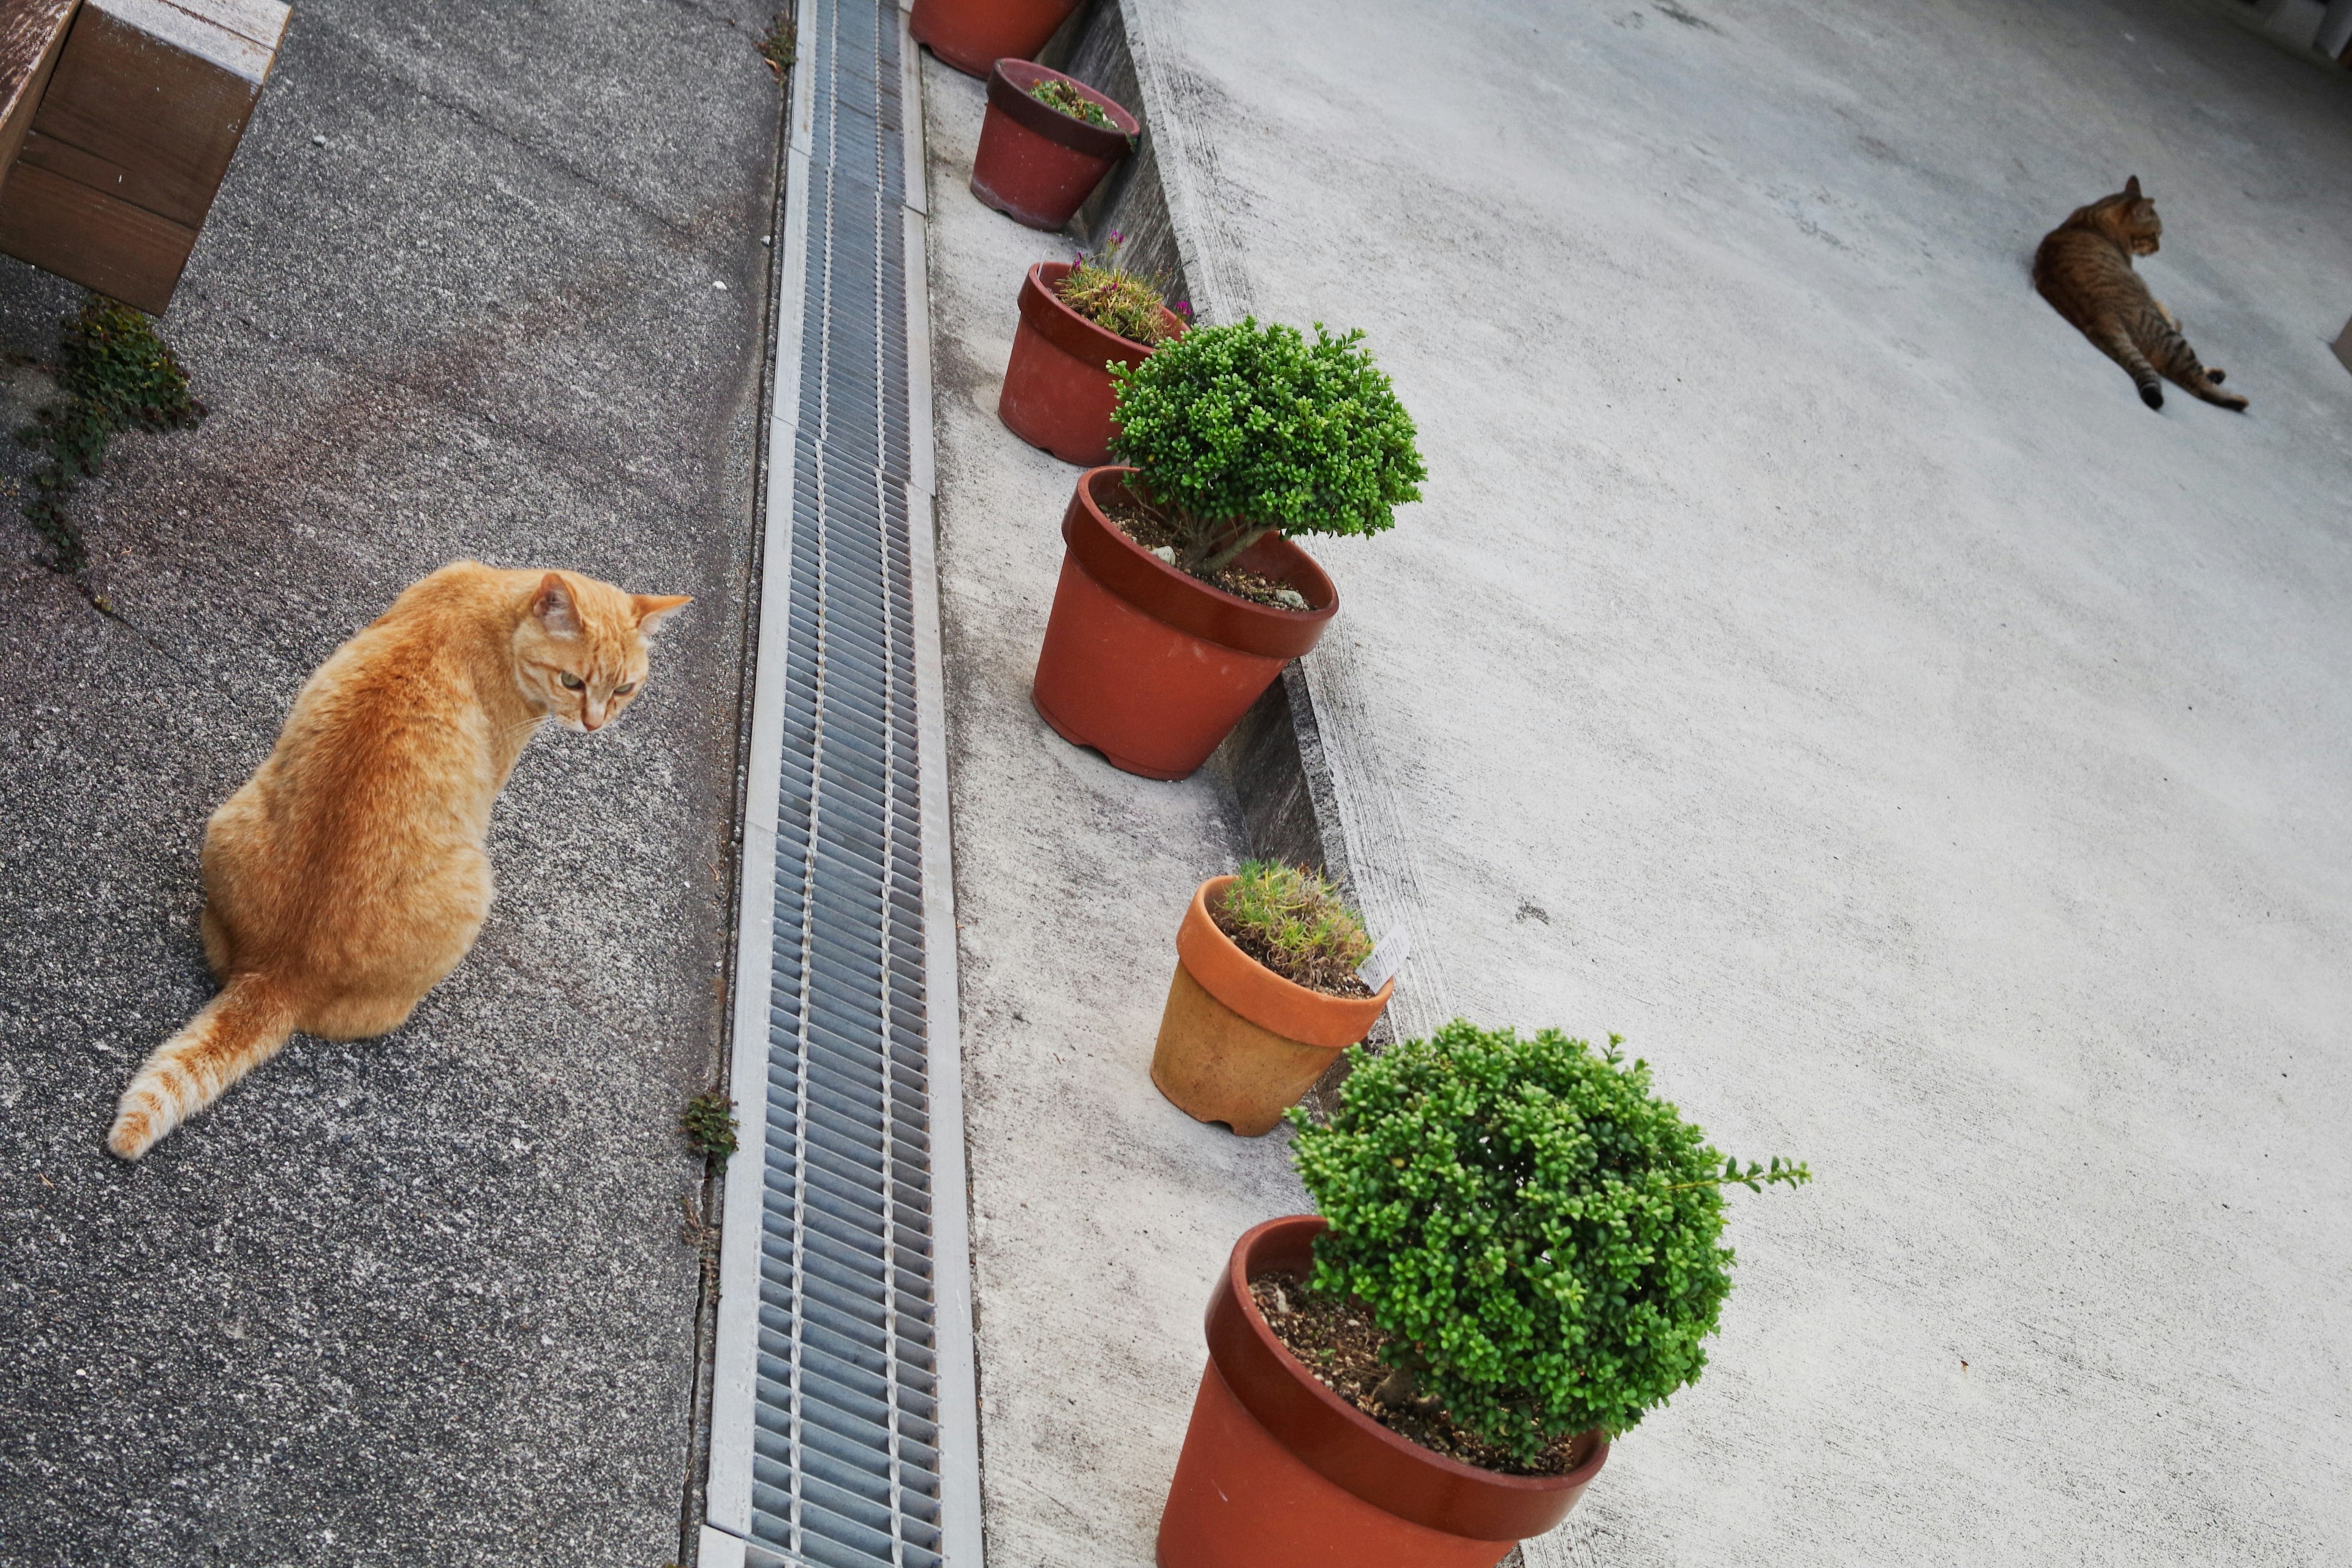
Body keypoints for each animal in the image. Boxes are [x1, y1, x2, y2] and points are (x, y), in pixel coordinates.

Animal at [108, 557, 687, 1161]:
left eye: (624, 688)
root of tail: (282, 972)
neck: (491, 605)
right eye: (572, 681)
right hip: (475, 888)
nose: (595, 725)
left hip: (232, 815)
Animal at [2032, 176, 2248, 416]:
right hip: (2171, 340)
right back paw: (2236, 399)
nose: (2158, 248)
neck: (2092, 219)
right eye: (2156, 234)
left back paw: (2216, 375)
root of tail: (2100, 316)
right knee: (2194, 381)